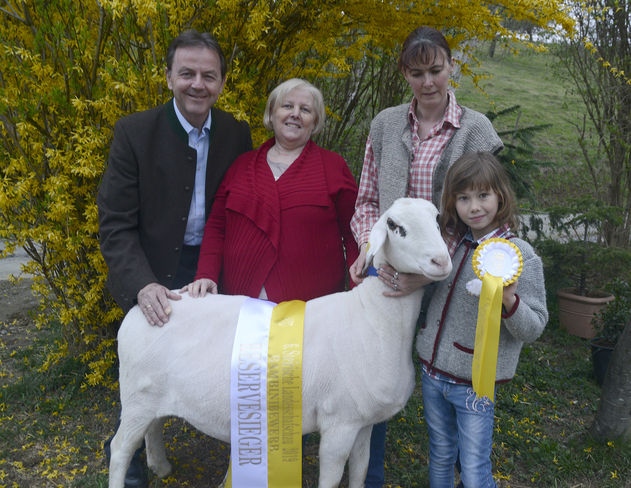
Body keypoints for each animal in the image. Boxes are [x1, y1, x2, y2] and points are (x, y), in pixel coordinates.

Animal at [110, 197, 454, 488]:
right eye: (396, 226)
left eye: (437, 219)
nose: (441, 261)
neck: (372, 319)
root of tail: (140, 308)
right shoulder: (339, 424)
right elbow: (333, 476)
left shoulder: (363, 422)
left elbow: (360, 468)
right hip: (136, 397)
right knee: (120, 449)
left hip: (152, 395)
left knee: (153, 427)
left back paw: (161, 466)